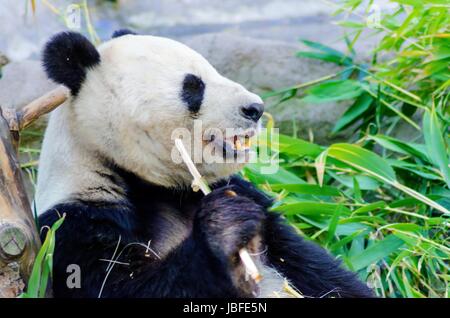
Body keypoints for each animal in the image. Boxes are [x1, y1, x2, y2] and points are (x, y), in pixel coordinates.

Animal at [35, 29, 372, 298]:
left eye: (213, 71)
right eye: (193, 86)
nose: (255, 108)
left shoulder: (243, 192)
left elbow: (310, 264)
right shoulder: (75, 225)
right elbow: (122, 287)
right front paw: (225, 226)